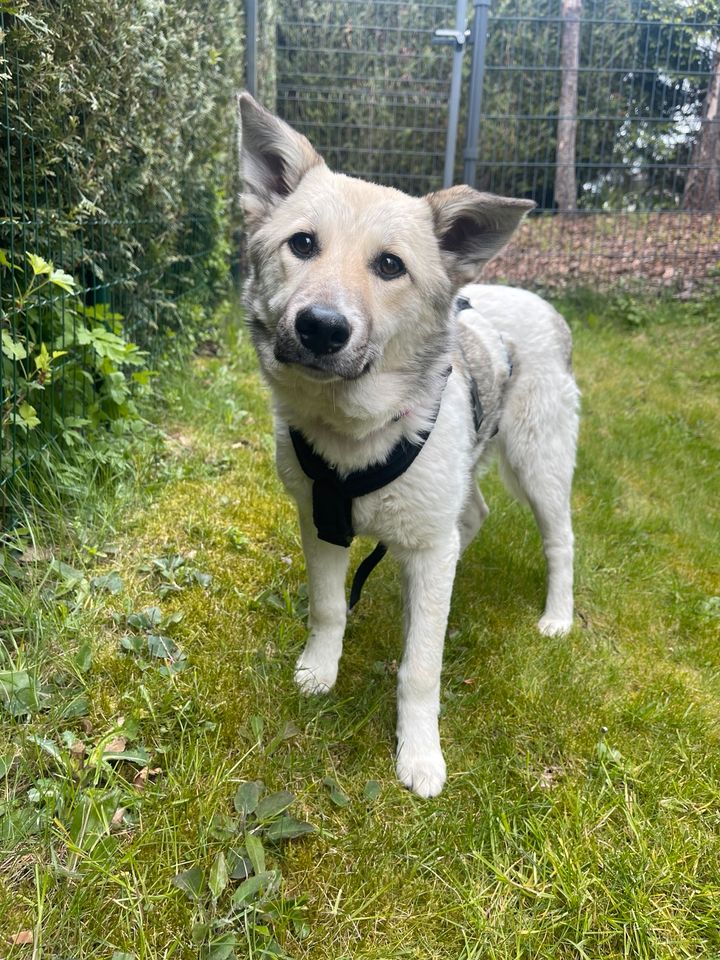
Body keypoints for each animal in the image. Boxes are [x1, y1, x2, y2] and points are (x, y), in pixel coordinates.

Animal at [236, 92, 580, 796]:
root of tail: (542, 306)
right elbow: (328, 609)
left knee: (560, 541)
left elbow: (421, 668)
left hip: (539, 467)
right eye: (302, 244)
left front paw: (419, 753)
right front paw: (321, 670)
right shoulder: (320, 523)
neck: (357, 433)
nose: (321, 328)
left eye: (390, 265)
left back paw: (557, 617)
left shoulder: (425, 537)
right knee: (468, 520)